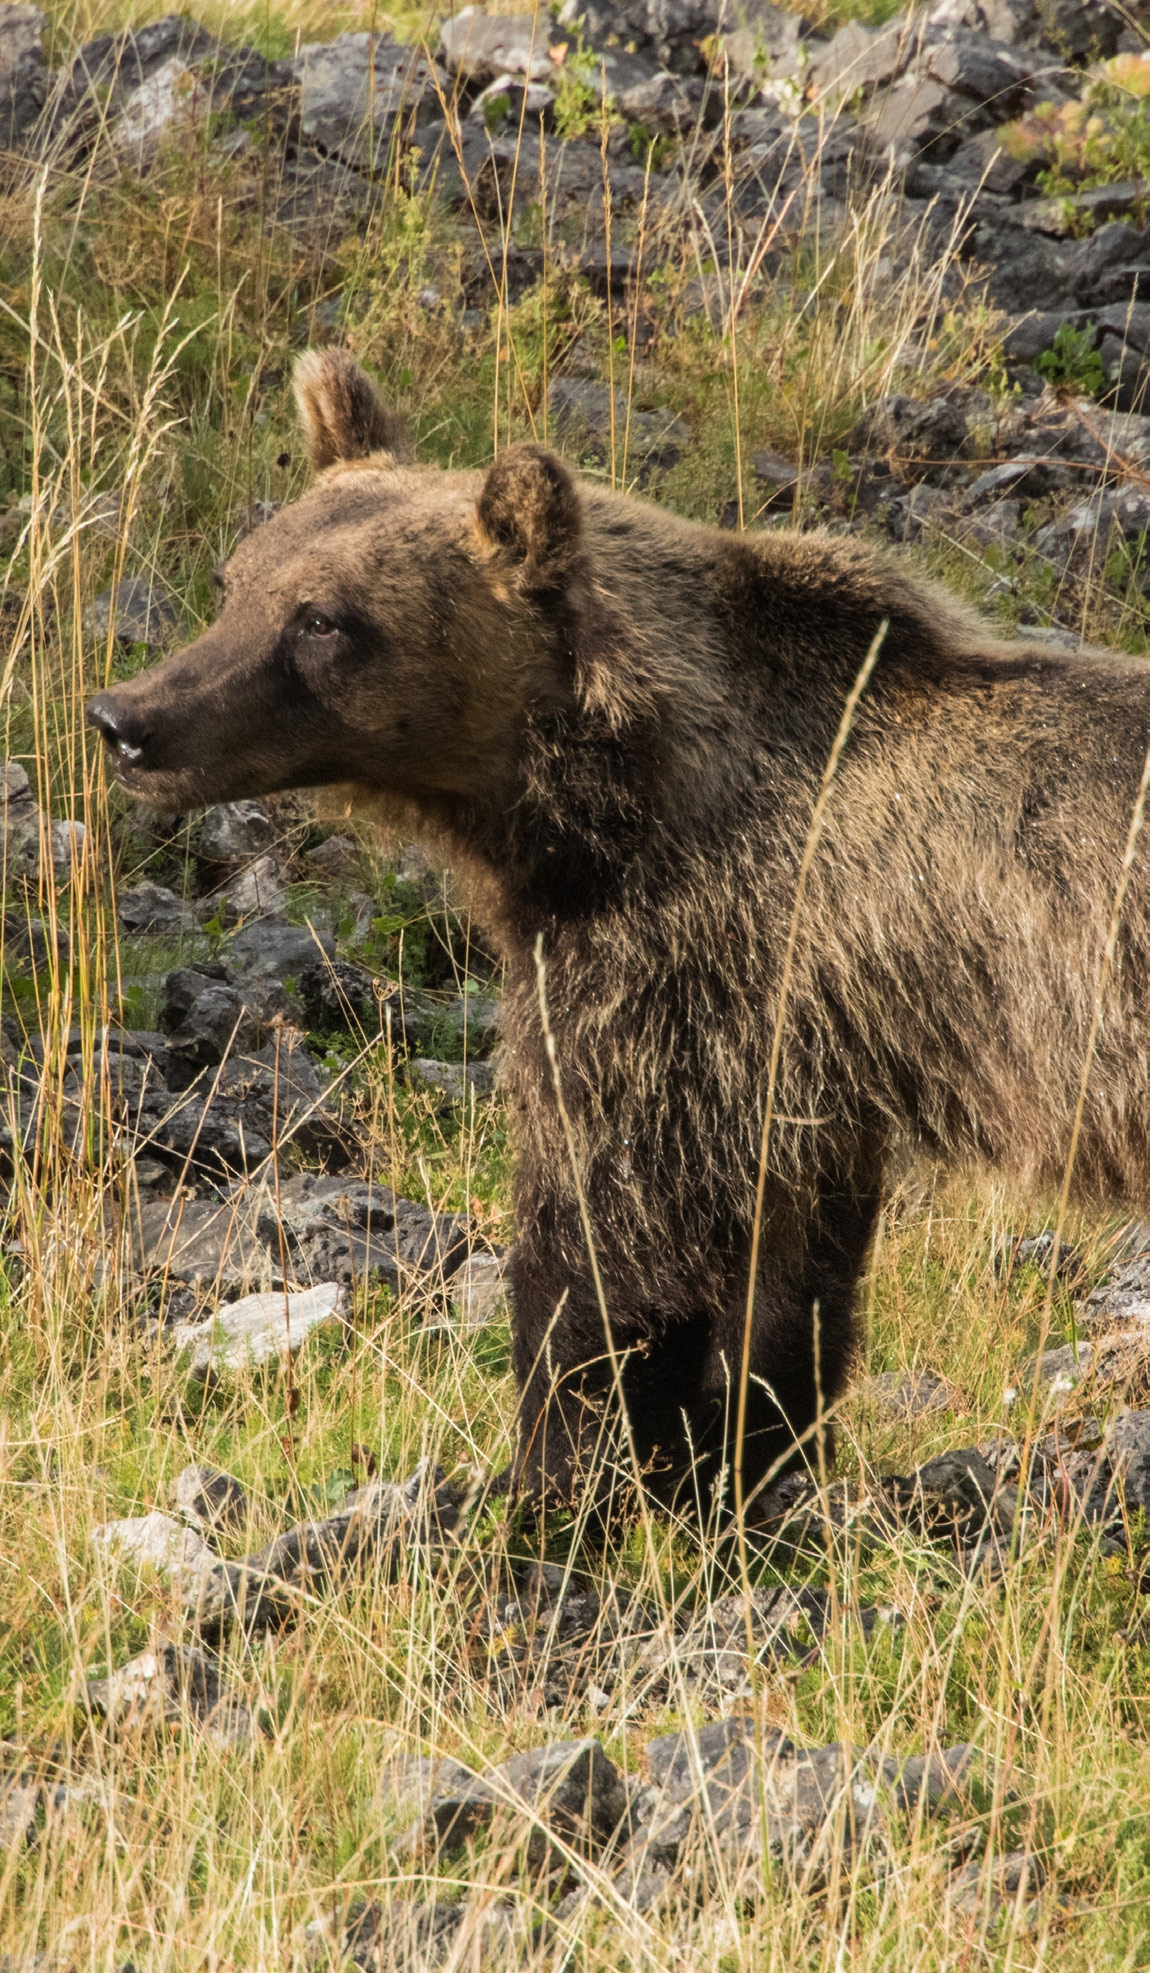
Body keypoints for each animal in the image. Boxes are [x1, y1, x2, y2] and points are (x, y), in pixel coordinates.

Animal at [89, 348, 1150, 1532]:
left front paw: (554, 1482)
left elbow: (605, 1242)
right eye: (239, 580)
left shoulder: (680, 970)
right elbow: (782, 1286)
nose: (128, 718)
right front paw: (723, 1468)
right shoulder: (800, 1056)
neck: (602, 802)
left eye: (323, 619)